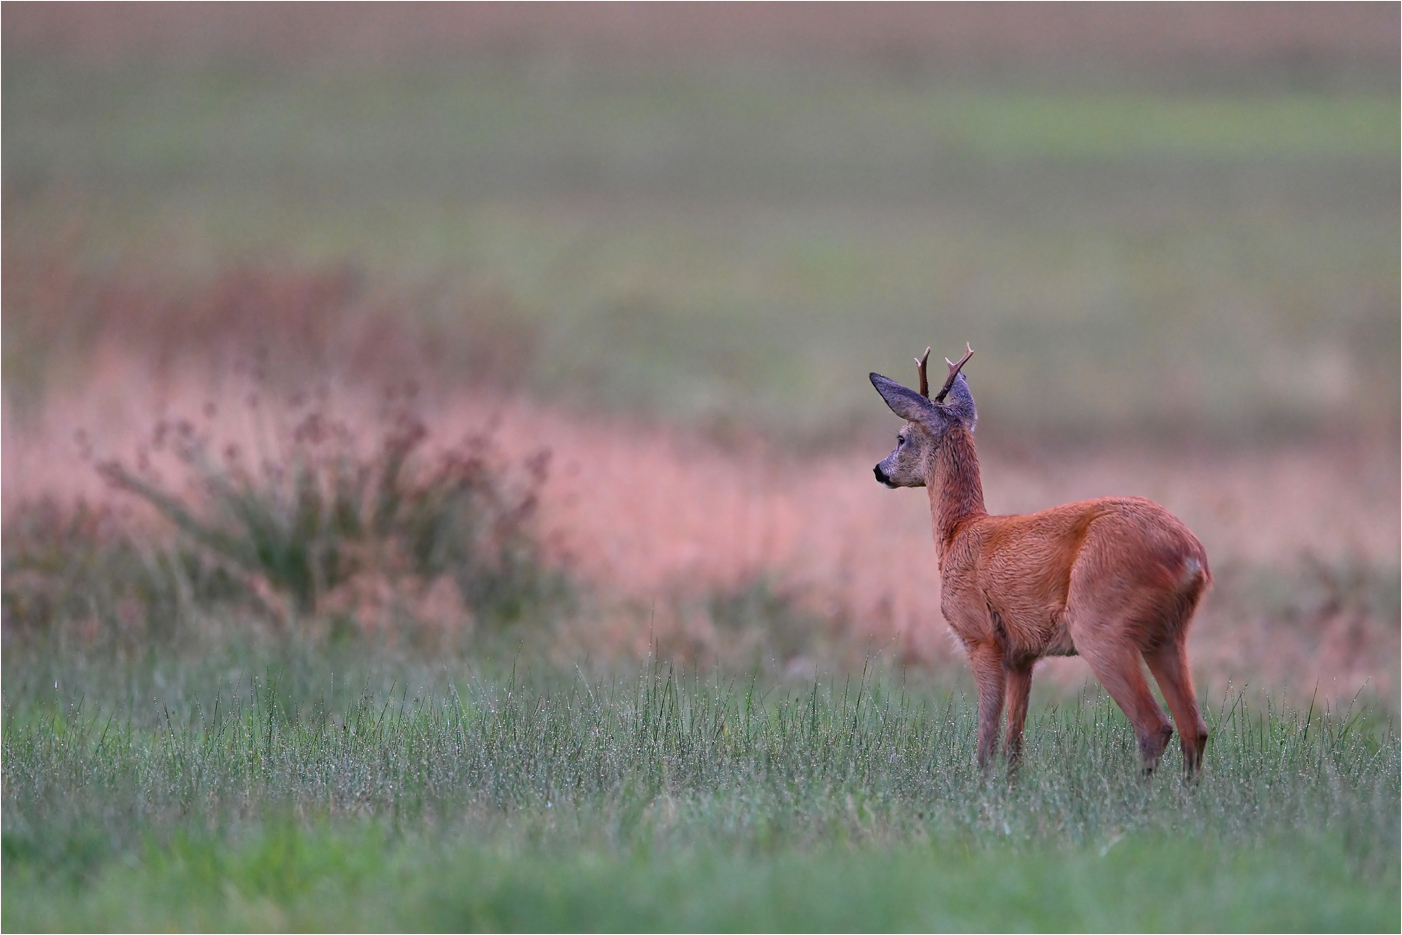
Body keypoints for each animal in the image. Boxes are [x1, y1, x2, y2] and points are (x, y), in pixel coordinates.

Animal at [869, 343, 1211, 773]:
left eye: (900, 437)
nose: (879, 470)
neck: (958, 533)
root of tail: (1193, 558)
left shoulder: (981, 635)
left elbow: (987, 738)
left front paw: (979, 783)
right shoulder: (1023, 656)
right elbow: (1014, 744)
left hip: (1101, 624)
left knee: (1156, 725)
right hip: (1167, 634)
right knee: (1194, 727)